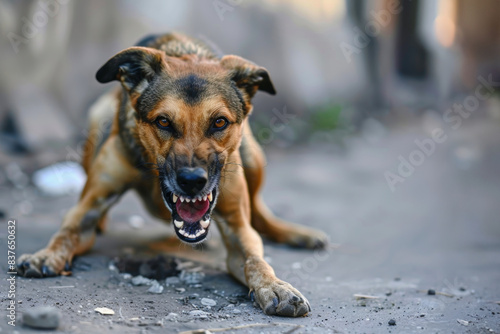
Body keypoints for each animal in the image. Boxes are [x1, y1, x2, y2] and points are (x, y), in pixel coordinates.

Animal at [17, 32, 328, 318]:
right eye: (163, 121)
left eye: (219, 122)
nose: (191, 181)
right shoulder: (89, 207)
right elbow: (68, 231)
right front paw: (46, 255)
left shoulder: (238, 226)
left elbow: (255, 259)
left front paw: (275, 286)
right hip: (97, 119)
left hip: (252, 155)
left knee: (260, 214)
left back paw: (296, 233)